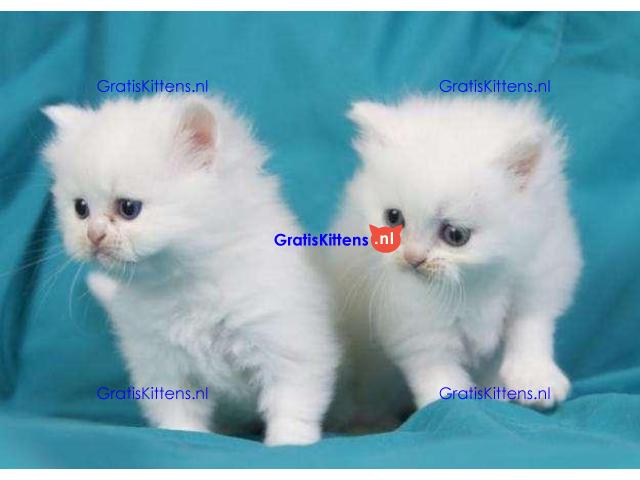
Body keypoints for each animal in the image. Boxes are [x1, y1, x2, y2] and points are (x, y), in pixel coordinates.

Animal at [42, 95, 338, 446]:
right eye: (81, 209)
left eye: (128, 209)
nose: (93, 235)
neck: (185, 283)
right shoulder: (163, 364)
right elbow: (178, 414)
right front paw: (182, 436)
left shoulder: (288, 346)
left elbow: (291, 404)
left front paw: (288, 443)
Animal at [328, 95, 582, 430]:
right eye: (393, 218)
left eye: (455, 235)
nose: (412, 258)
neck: (478, 282)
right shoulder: (415, 325)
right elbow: (438, 375)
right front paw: (457, 411)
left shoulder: (539, 270)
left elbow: (530, 327)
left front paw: (534, 378)